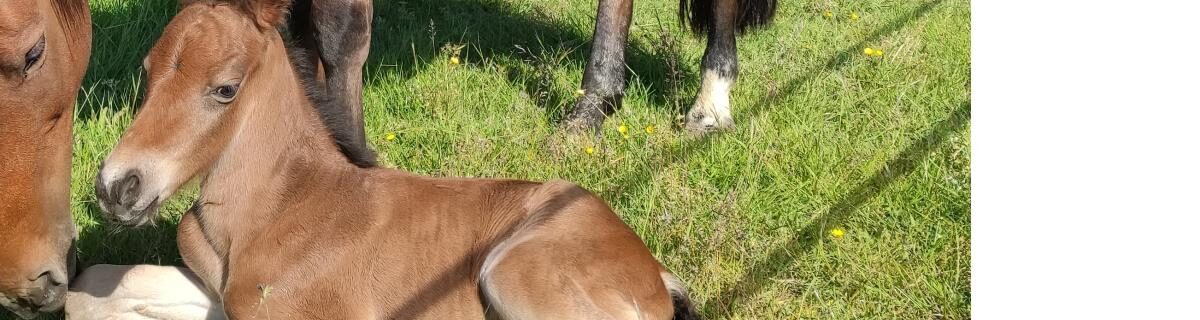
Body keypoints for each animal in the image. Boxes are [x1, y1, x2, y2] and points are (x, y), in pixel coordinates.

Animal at [93, 1, 700, 318]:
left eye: (224, 89)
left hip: (515, 272)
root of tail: (653, 273)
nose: (118, 186)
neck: (276, 208)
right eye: (148, 73)